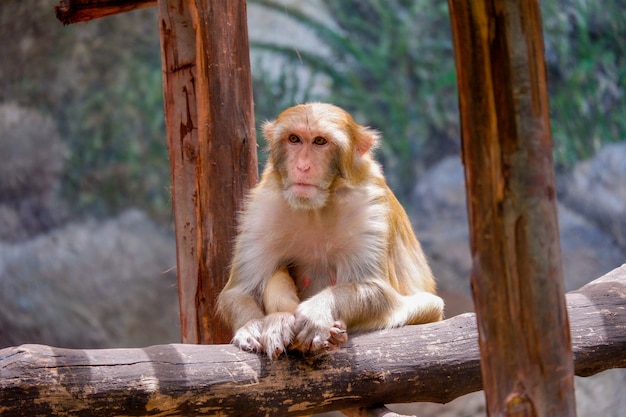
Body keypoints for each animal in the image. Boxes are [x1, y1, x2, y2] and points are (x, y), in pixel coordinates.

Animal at [217, 101, 442, 358]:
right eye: (294, 139)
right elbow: (240, 291)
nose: (302, 166)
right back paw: (280, 320)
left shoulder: (369, 208)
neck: (316, 207)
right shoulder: (262, 208)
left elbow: (377, 291)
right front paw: (253, 326)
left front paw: (317, 311)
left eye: (320, 141)